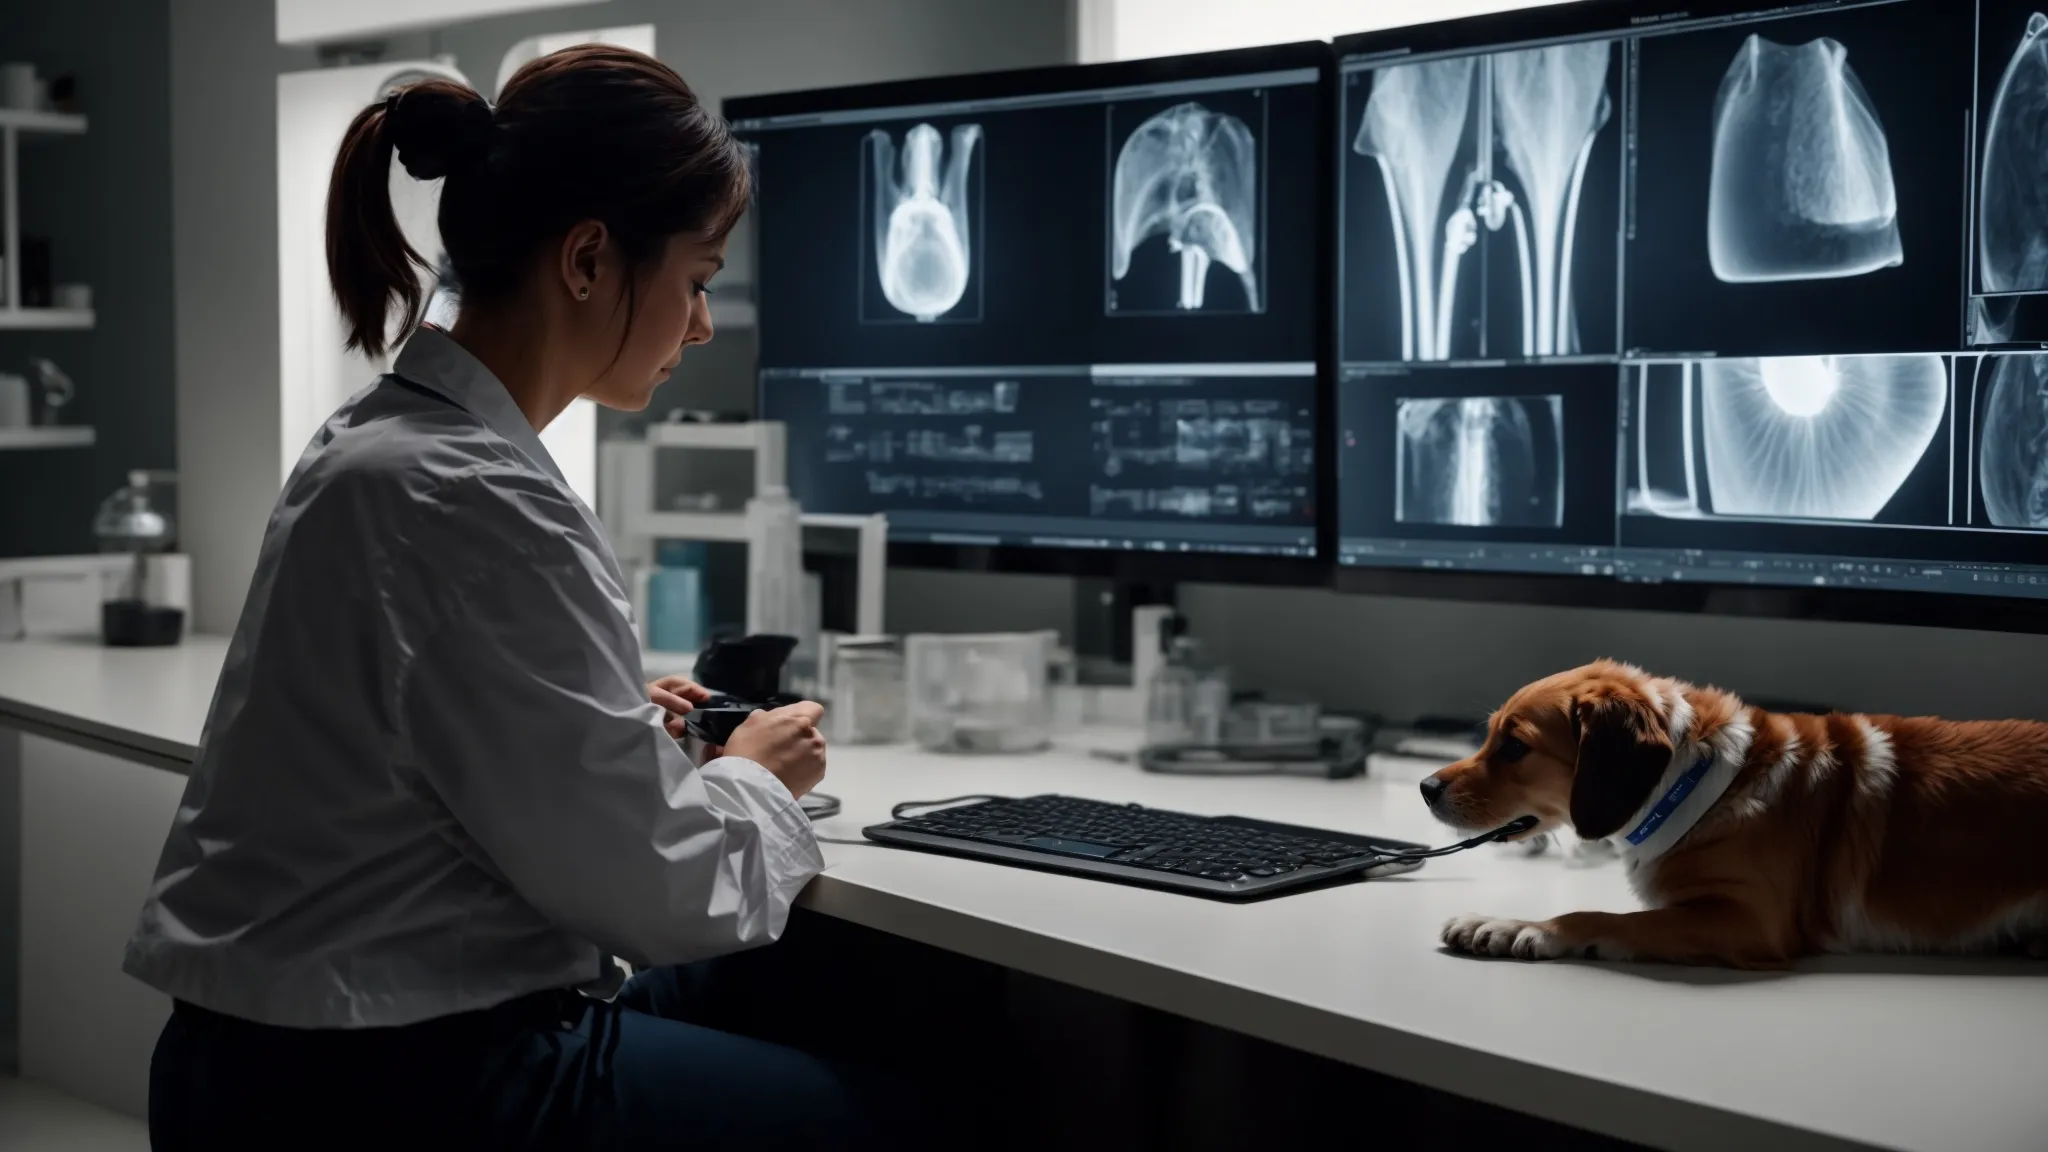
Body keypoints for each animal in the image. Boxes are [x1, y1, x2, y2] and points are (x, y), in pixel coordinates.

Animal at [1417, 660, 2048, 963]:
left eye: (1514, 747)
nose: (1424, 786)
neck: (1694, 783)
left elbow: (1600, 917)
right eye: (1489, 735)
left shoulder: (1749, 920)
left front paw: (1518, 928)